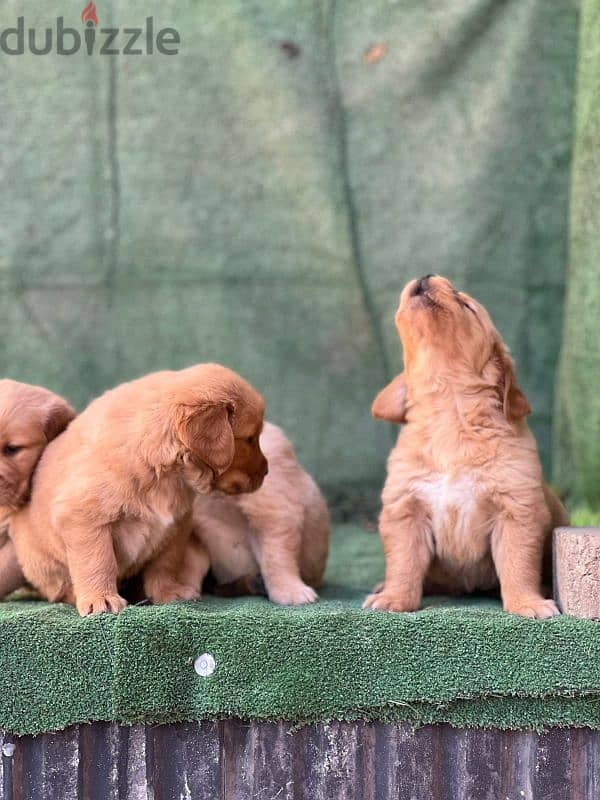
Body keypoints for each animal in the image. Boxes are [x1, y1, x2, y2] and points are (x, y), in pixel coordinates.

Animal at [8, 364, 266, 620]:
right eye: (250, 438)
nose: (267, 471)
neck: (165, 475)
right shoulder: (83, 519)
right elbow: (98, 561)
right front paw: (101, 599)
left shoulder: (176, 526)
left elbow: (166, 563)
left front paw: (168, 593)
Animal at [366, 276, 568, 620]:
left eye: (466, 304)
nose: (425, 277)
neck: (450, 412)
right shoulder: (405, 510)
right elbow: (404, 563)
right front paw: (394, 598)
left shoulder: (517, 512)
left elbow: (518, 564)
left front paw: (527, 603)